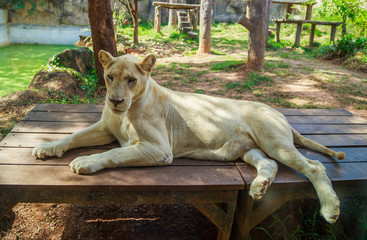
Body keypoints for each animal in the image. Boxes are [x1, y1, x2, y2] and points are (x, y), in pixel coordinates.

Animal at [33, 50, 346, 223]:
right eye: (109, 77)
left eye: (131, 80)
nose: (115, 101)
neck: (124, 113)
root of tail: (277, 112)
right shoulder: (104, 129)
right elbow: (73, 136)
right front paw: (46, 147)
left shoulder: (159, 149)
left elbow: (114, 153)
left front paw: (86, 162)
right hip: (250, 149)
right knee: (269, 164)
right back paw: (259, 188)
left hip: (274, 141)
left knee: (315, 167)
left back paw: (330, 209)